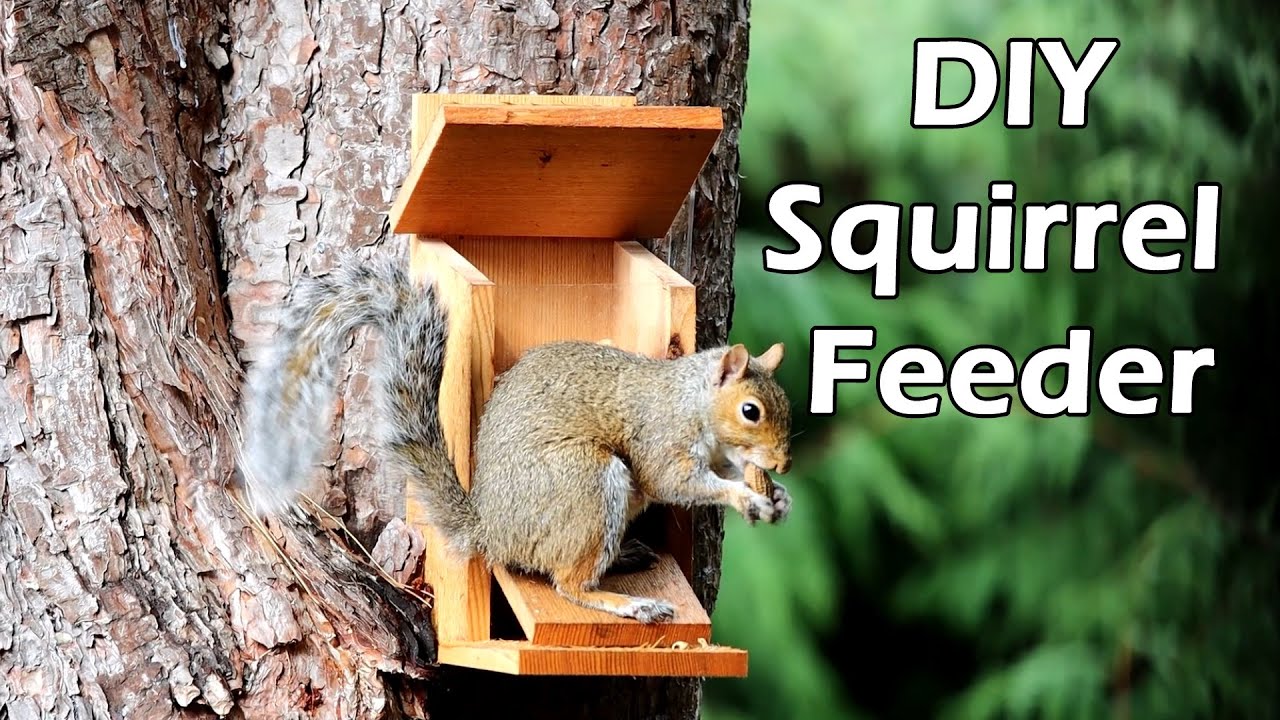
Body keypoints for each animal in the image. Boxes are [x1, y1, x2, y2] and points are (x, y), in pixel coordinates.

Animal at [238, 250, 794, 624]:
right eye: (750, 411)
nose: (783, 464)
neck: (692, 401)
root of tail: (489, 530)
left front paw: (777, 496)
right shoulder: (662, 437)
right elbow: (676, 482)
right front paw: (745, 495)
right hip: (585, 483)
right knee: (569, 584)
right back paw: (627, 601)